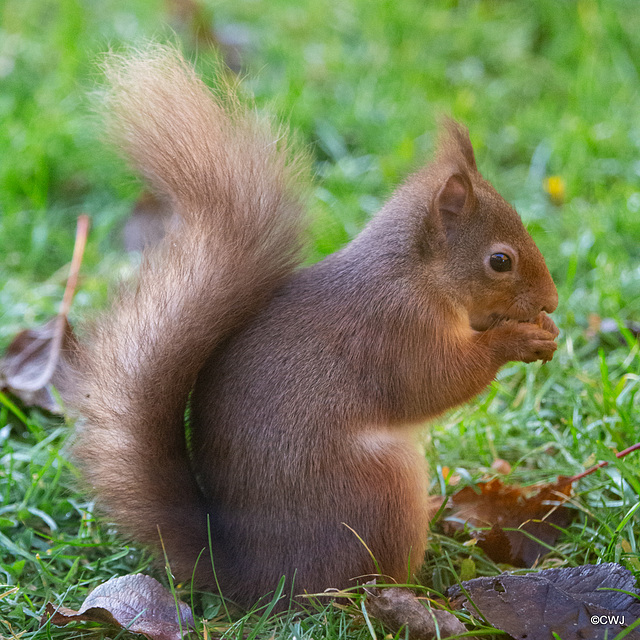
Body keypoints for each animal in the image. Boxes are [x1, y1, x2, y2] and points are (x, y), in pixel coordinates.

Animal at [72, 46, 556, 608]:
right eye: (500, 261)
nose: (552, 300)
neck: (416, 274)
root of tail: (258, 580)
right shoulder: (395, 330)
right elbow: (436, 382)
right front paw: (517, 339)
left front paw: (543, 327)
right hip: (380, 492)